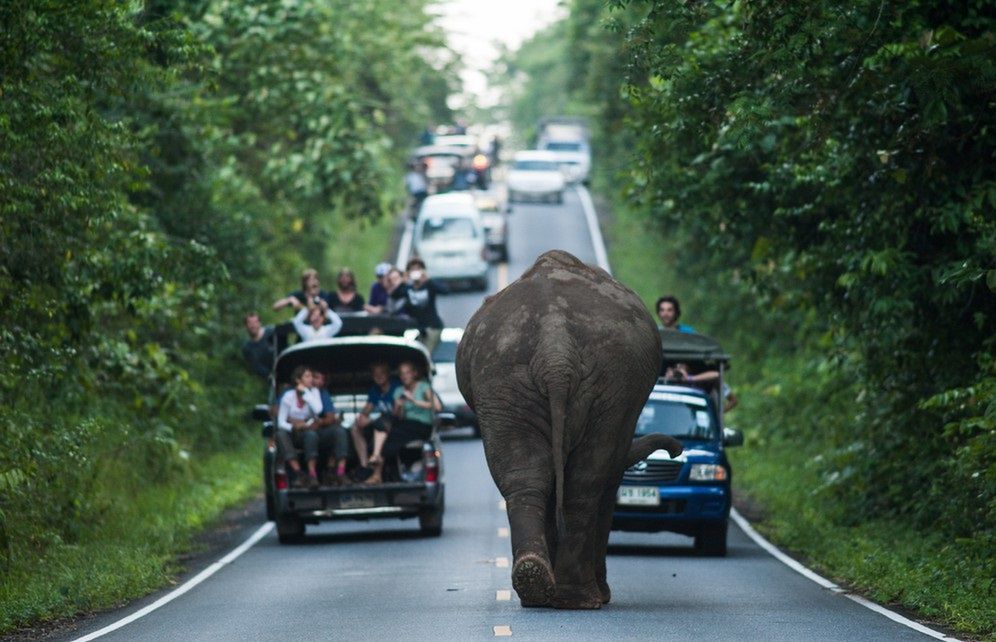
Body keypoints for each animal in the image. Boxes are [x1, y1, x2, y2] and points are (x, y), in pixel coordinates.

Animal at [456, 249, 680, 604]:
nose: (676, 451)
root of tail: (555, 351)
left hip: (503, 381)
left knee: (526, 475)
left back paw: (536, 585)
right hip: (606, 385)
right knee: (586, 480)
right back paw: (579, 598)